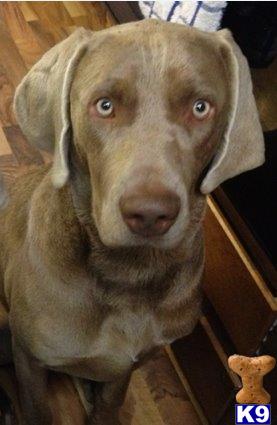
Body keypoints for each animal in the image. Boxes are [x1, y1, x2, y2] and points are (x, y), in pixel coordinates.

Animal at [0, 18, 264, 422]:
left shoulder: (128, 365)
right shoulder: (30, 357)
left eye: (200, 108)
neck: (129, 274)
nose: (150, 213)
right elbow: (36, 406)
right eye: (105, 105)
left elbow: (110, 401)